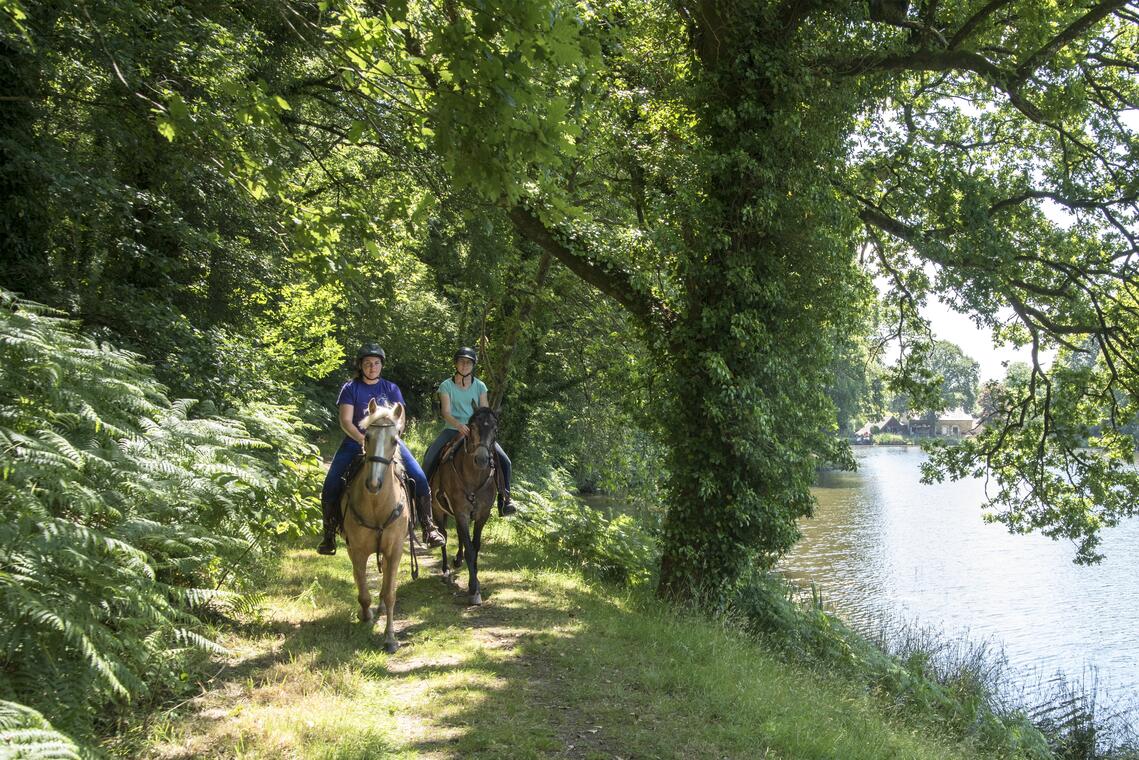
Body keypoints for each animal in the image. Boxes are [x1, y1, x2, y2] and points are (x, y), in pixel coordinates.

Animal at [341, 401, 410, 651]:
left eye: (395, 440)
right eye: (367, 436)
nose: (373, 483)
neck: (376, 505)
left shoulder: (395, 550)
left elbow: (390, 593)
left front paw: (390, 637)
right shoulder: (358, 550)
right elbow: (362, 591)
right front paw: (366, 615)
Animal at [428, 407, 498, 610]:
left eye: (495, 429)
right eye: (472, 426)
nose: (482, 459)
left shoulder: (482, 514)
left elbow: (475, 546)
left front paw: (475, 581)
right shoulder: (461, 512)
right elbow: (469, 548)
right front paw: (474, 590)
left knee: (458, 534)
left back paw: (457, 561)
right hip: (438, 510)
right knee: (443, 535)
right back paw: (445, 571)